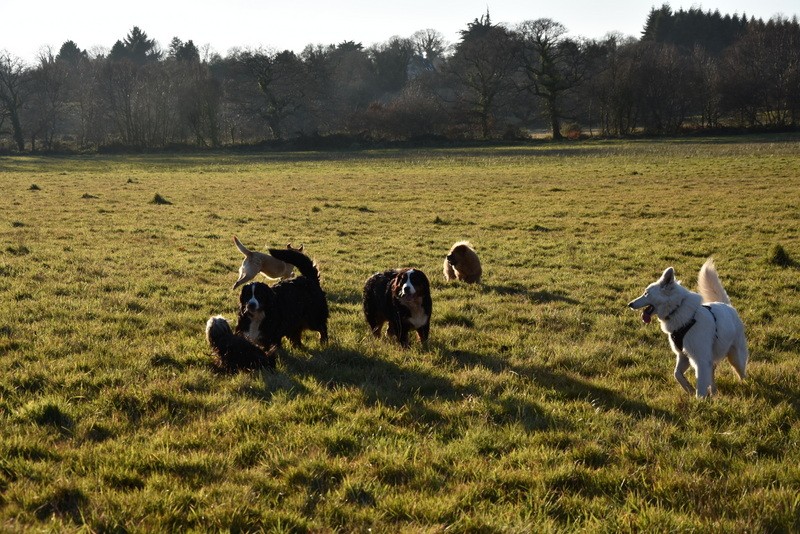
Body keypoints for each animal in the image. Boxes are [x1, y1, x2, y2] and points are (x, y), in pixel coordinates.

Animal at [624, 260, 752, 398]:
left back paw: (743, 385)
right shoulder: (683, 355)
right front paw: (689, 389)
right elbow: (677, 374)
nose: (629, 304)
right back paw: (713, 393)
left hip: (736, 358)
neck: (677, 309)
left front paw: (699, 401)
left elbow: (700, 385)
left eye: (646, 293)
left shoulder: (700, 360)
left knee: (742, 374)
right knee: (712, 373)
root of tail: (727, 306)